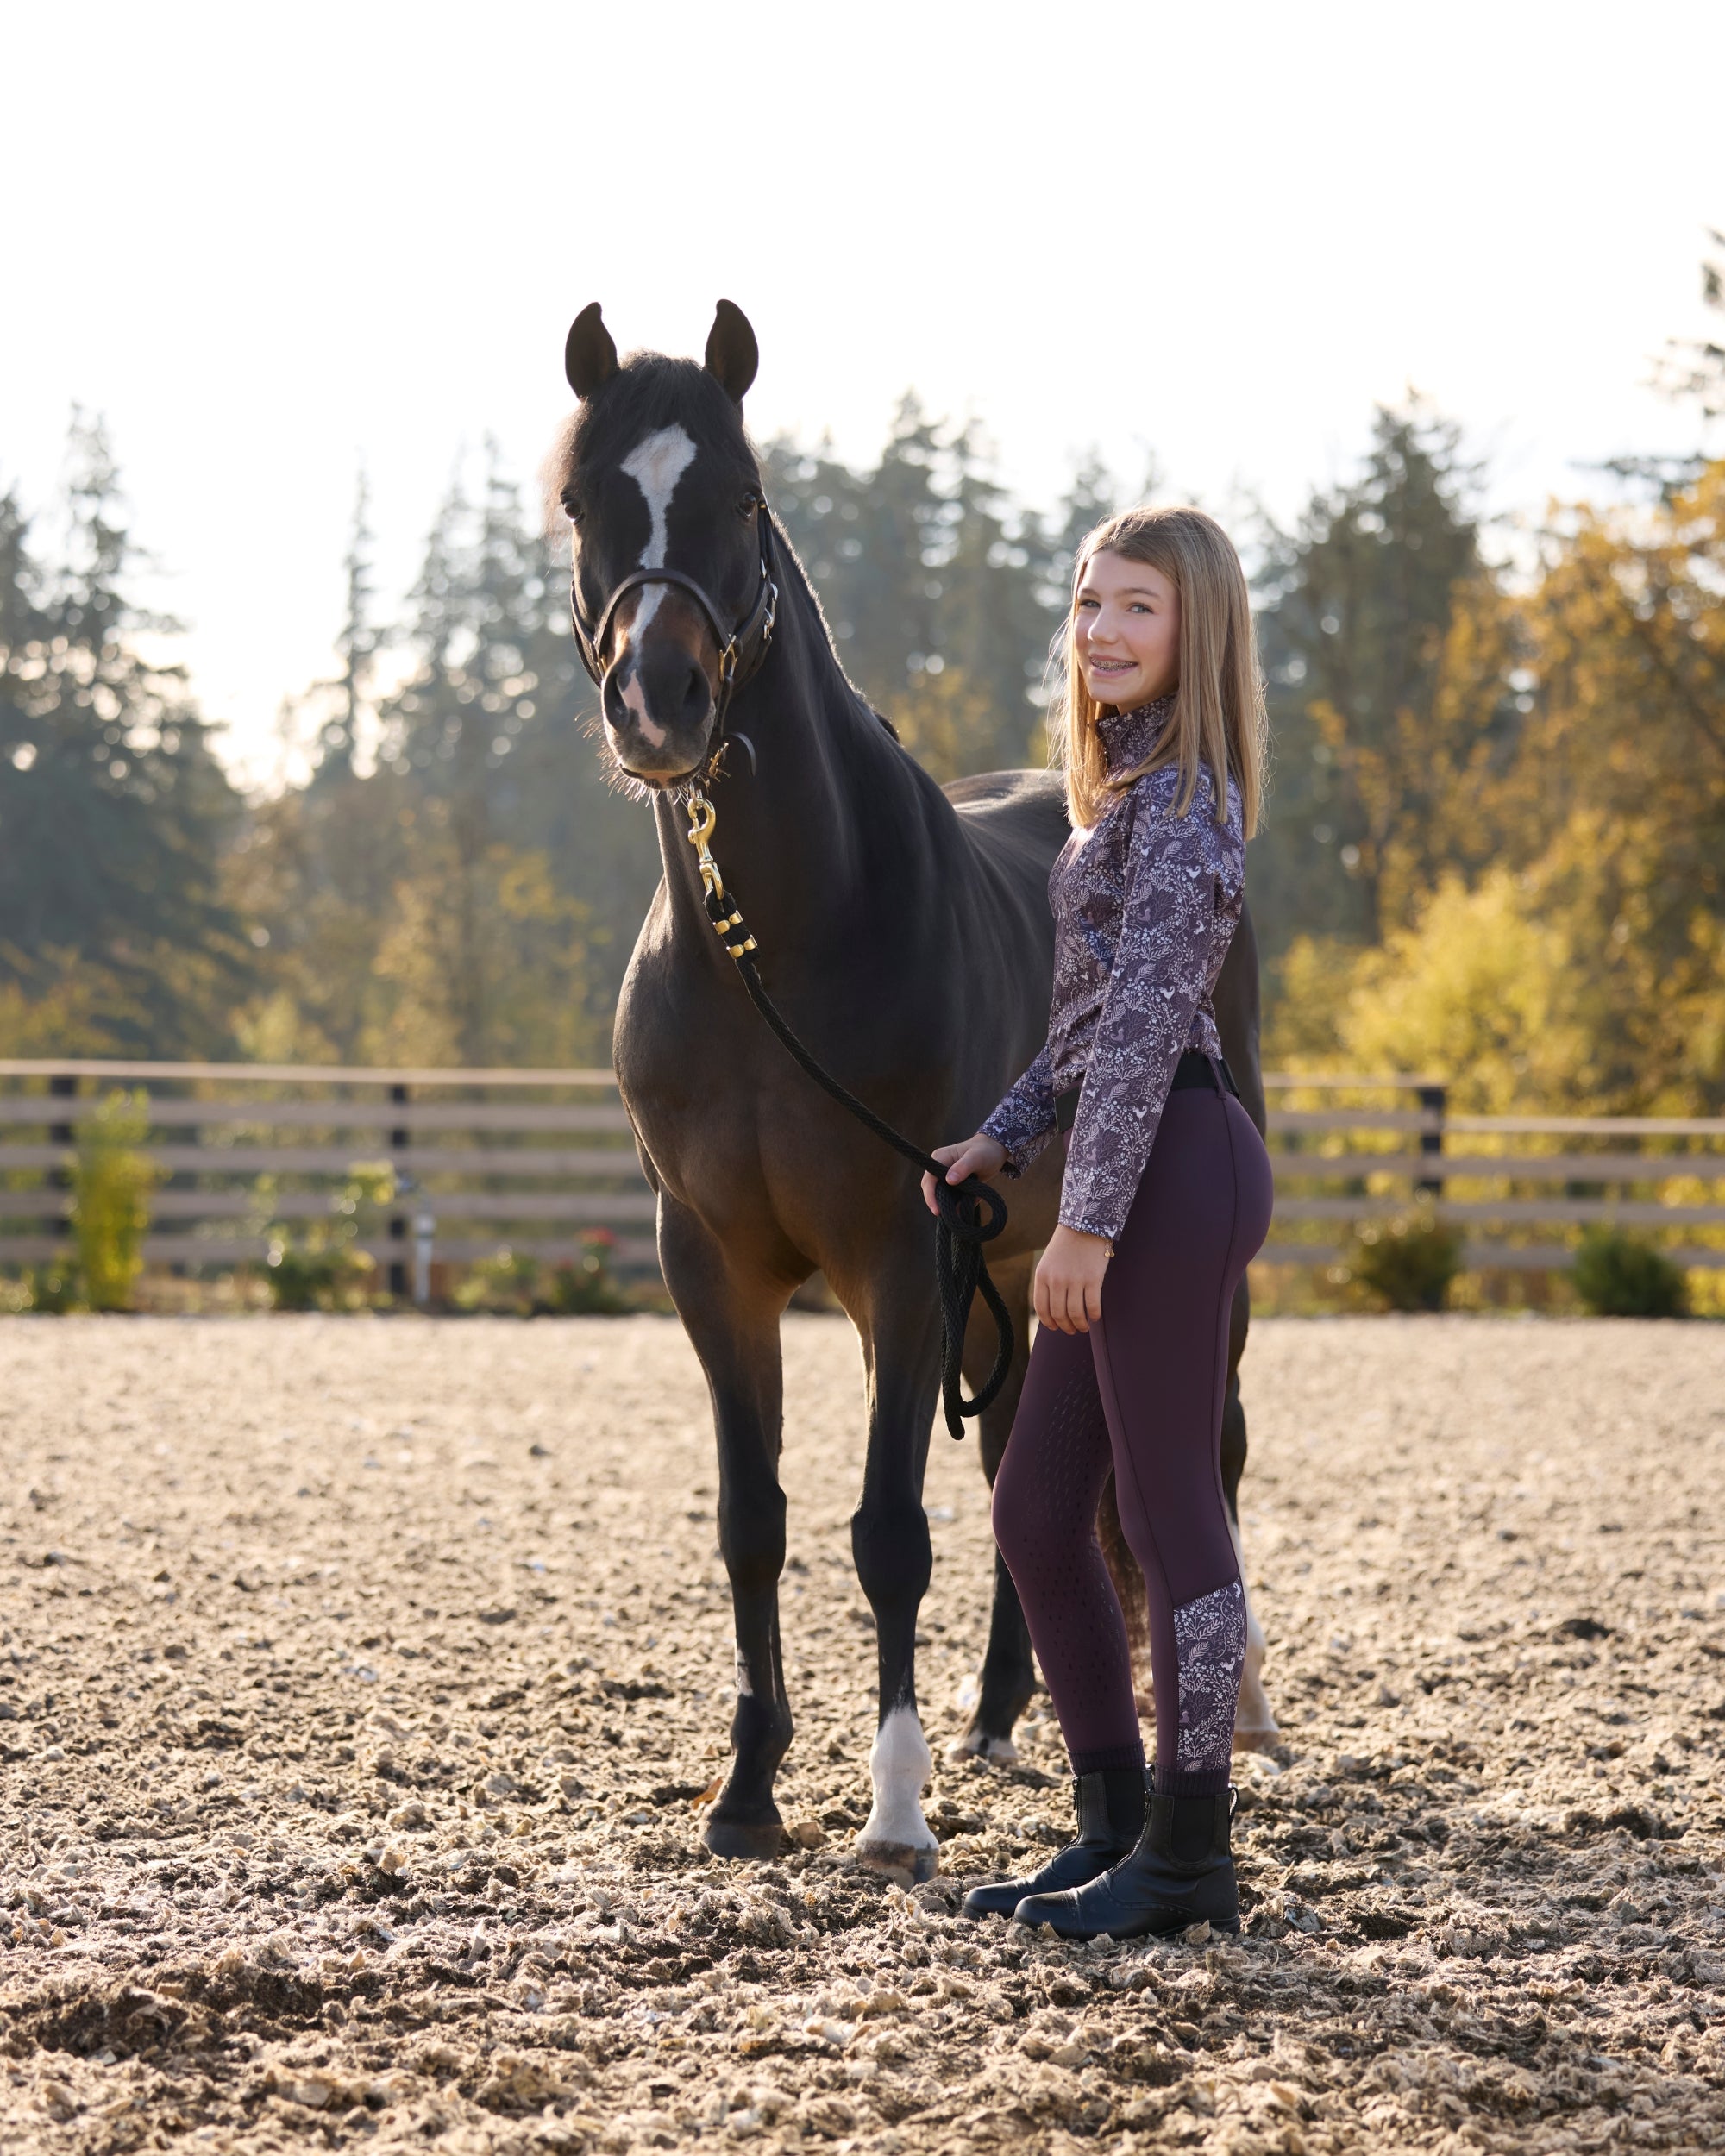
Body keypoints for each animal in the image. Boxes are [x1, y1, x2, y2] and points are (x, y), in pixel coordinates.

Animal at [548, 299, 1275, 1879]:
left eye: (742, 497)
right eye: (583, 502)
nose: (656, 701)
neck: (787, 942)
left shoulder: (898, 1250)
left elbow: (888, 1529)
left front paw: (892, 1807)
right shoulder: (713, 1262)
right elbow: (753, 1521)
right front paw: (748, 1791)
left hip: (1166, 1273)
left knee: (1211, 1455)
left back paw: (1240, 1720)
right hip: (1013, 1267)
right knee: (1025, 1468)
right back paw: (1009, 1716)